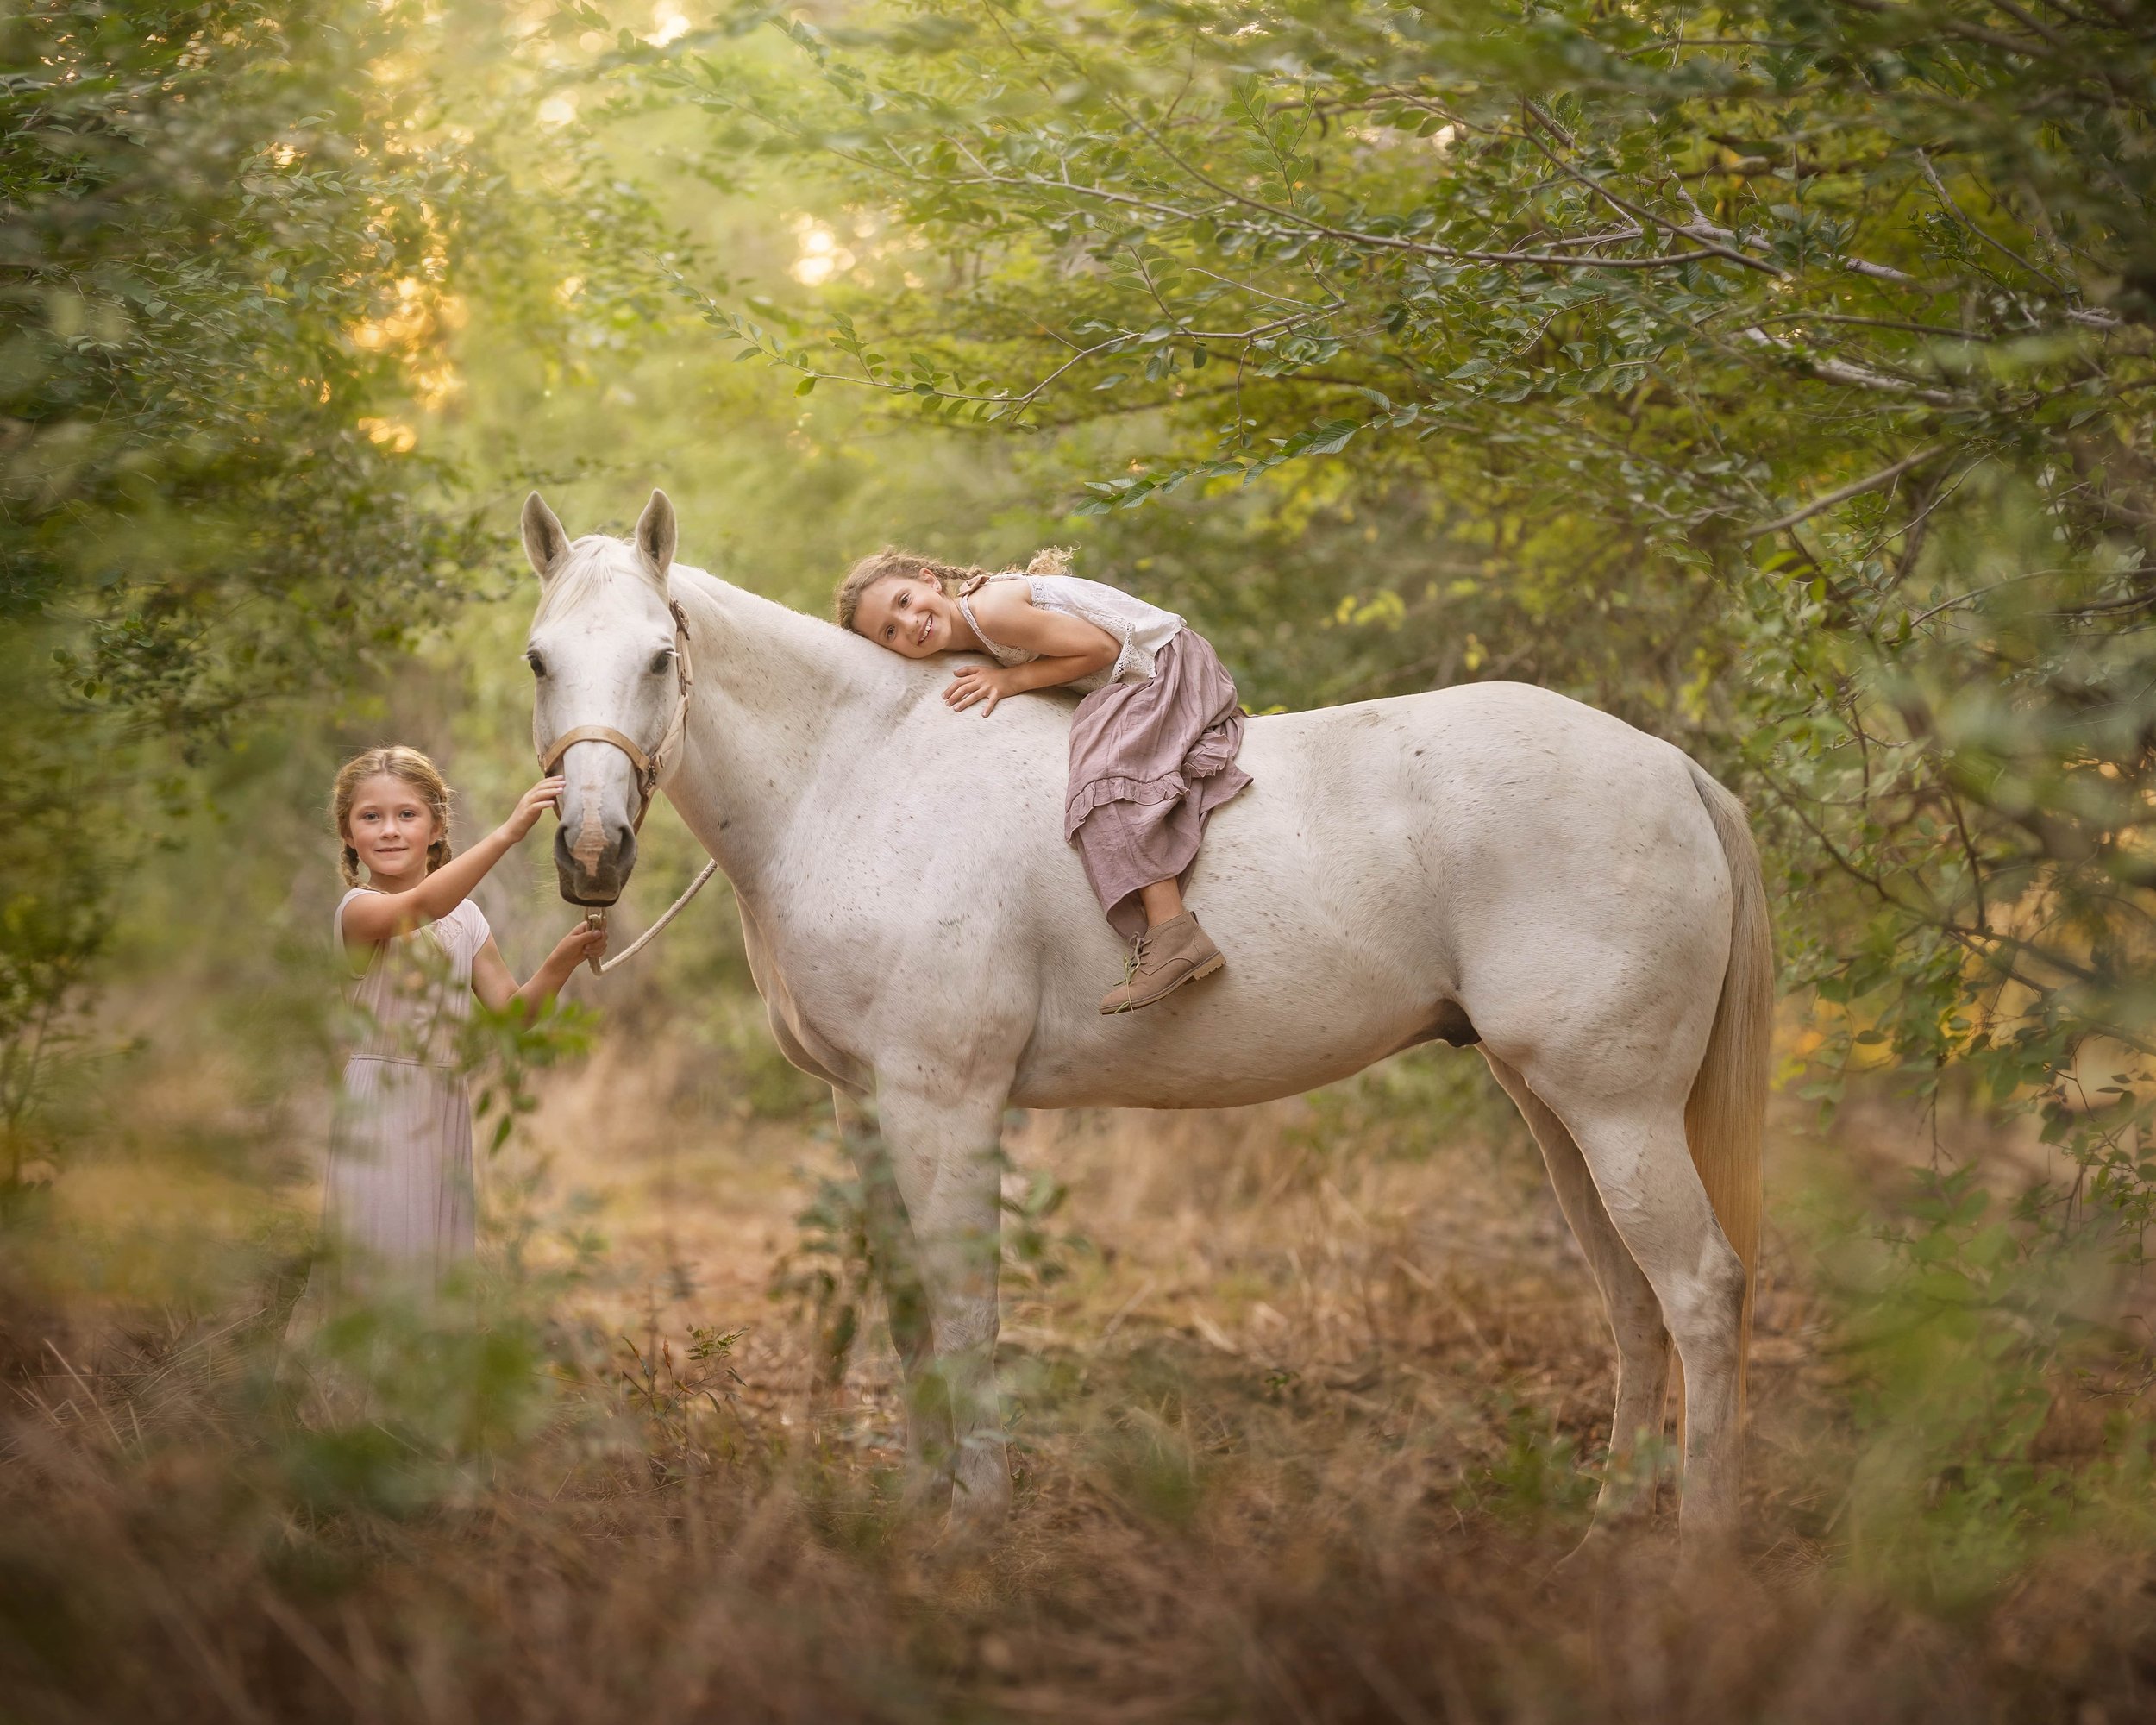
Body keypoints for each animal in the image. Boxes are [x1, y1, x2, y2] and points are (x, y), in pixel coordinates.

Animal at [522, 485, 1768, 1552]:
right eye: (540, 658)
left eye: (660, 656)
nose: (590, 851)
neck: (857, 770)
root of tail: (1674, 771)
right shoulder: (862, 1104)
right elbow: (910, 1309)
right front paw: (920, 1498)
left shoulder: (945, 1100)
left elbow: (964, 1307)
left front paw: (973, 1513)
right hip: (1555, 1108)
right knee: (1633, 1303)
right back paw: (1609, 1524)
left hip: (1617, 1109)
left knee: (1700, 1291)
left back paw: (1699, 1546)